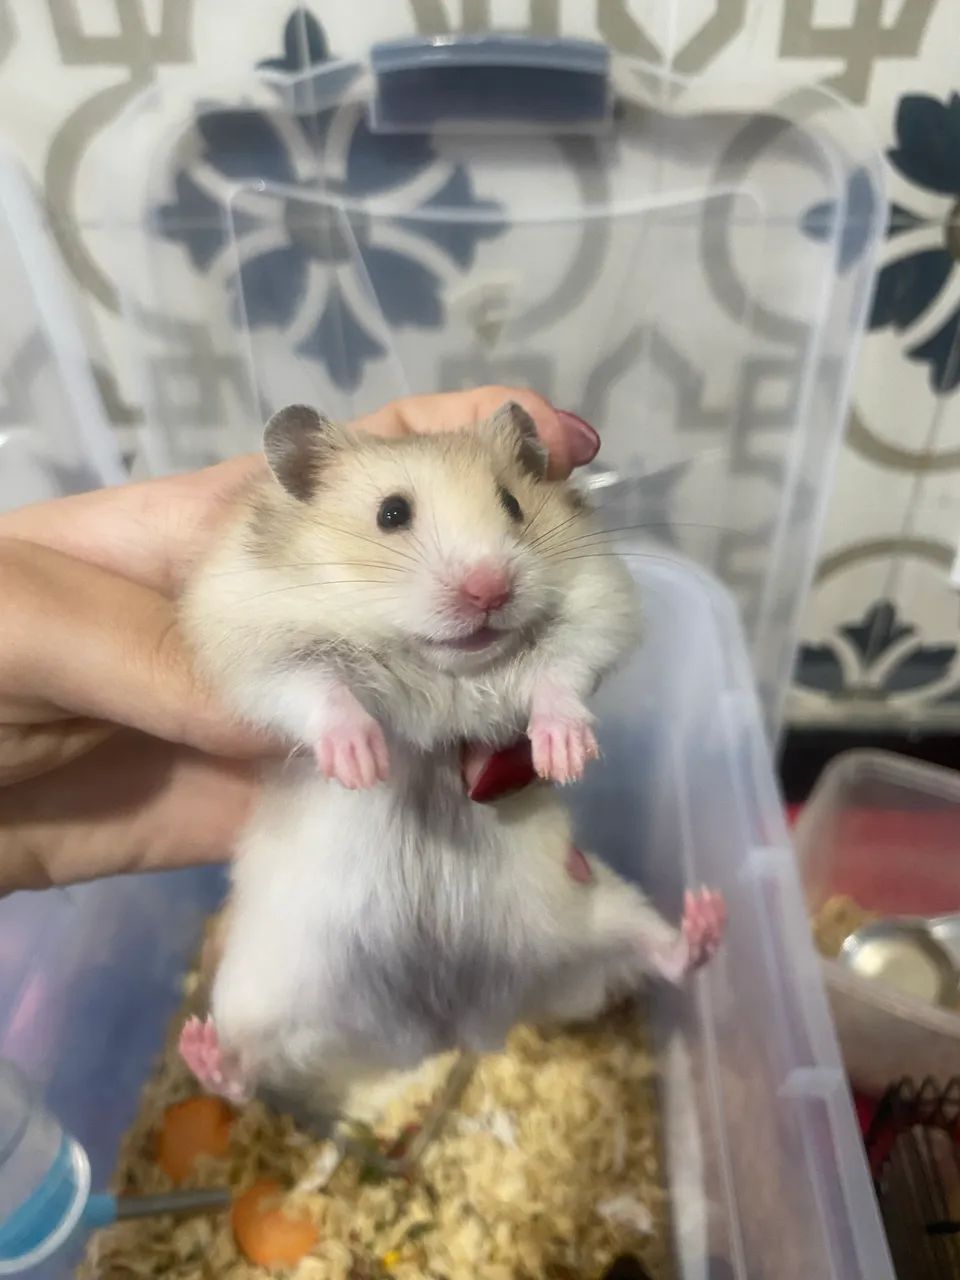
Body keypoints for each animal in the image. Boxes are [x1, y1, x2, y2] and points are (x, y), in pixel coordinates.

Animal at [178, 402, 725, 1116]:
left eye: (512, 503)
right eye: (390, 513)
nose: (490, 588)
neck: (445, 671)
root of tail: (448, 1027)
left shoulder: (596, 608)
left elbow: (560, 678)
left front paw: (565, 757)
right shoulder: (257, 639)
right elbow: (319, 691)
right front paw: (362, 764)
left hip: (599, 912)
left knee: (661, 955)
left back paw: (706, 918)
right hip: (264, 988)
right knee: (246, 1075)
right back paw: (200, 1049)